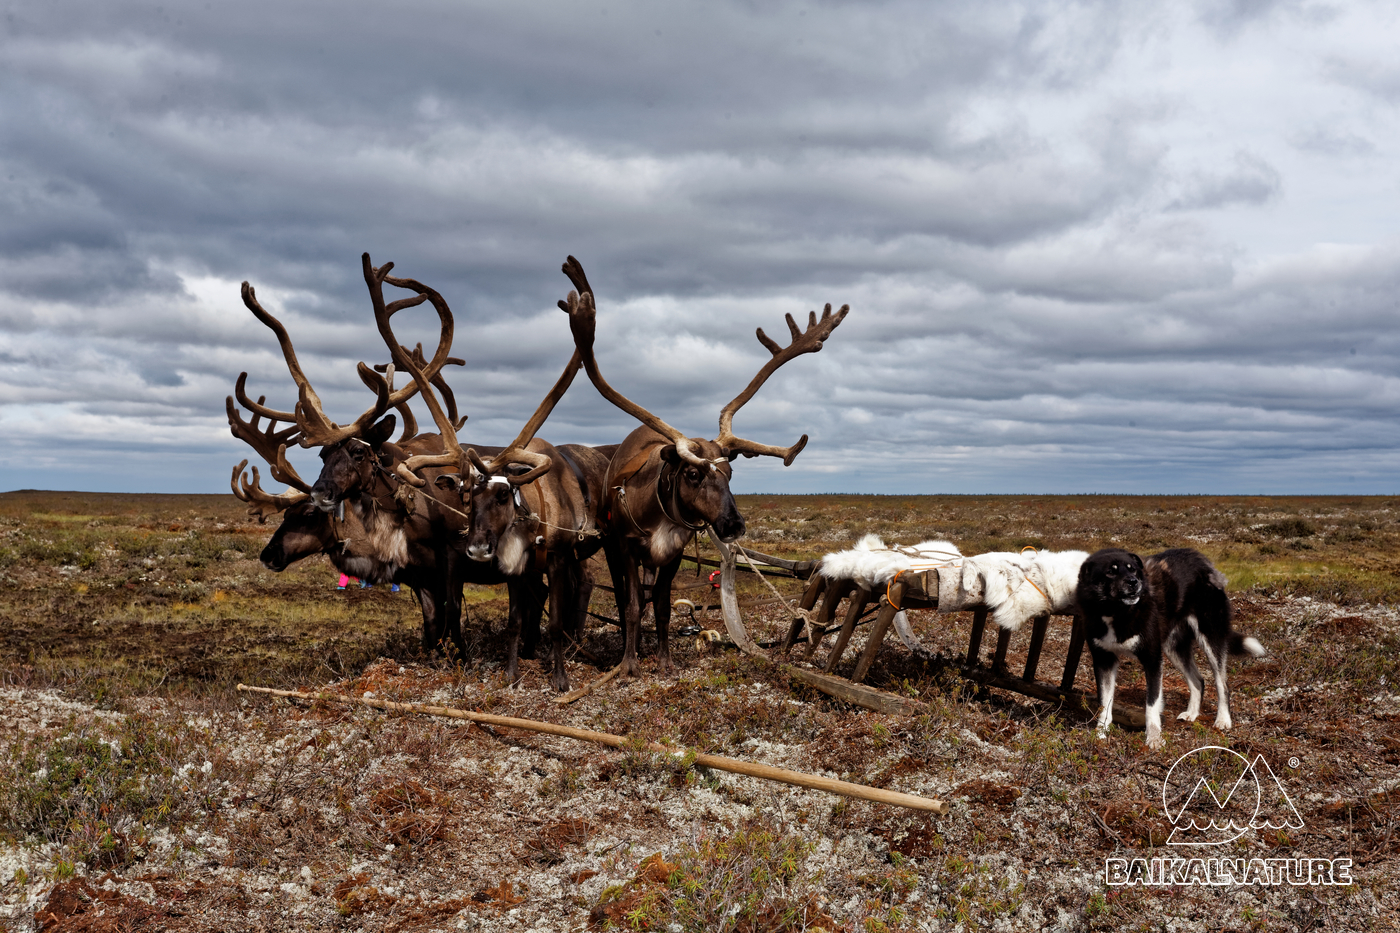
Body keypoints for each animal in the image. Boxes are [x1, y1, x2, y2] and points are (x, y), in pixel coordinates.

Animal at [1075, 549, 1265, 745]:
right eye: (1110, 572)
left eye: (1132, 569)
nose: (1134, 582)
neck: (1116, 613)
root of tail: (1203, 561)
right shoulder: (1103, 660)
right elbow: (1104, 703)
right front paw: (1100, 733)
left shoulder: (1152, 659)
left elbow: (1151, 704)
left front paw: (1154, 738)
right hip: (1174, 648)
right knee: (1198, 681)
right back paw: (1192, 713)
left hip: (1211, 637)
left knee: (1222, 684)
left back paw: (1223, 719)